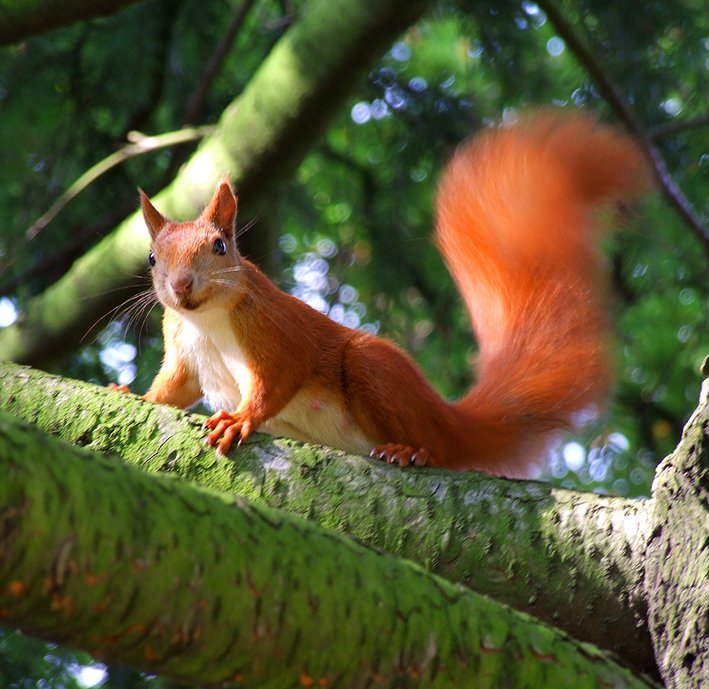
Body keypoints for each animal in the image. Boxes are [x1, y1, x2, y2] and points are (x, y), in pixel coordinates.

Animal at [121, 110, 649, 476]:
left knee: (430, 443)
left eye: (220, 246)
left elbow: (280, 377)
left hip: (373, 369)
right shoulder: (182, 349)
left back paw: (410, 449)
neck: (206, 319)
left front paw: (241, 418)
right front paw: (132, 392)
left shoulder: (276, 329)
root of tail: (446, 418)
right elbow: (174, 388)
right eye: (151, 258)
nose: (180, 286)